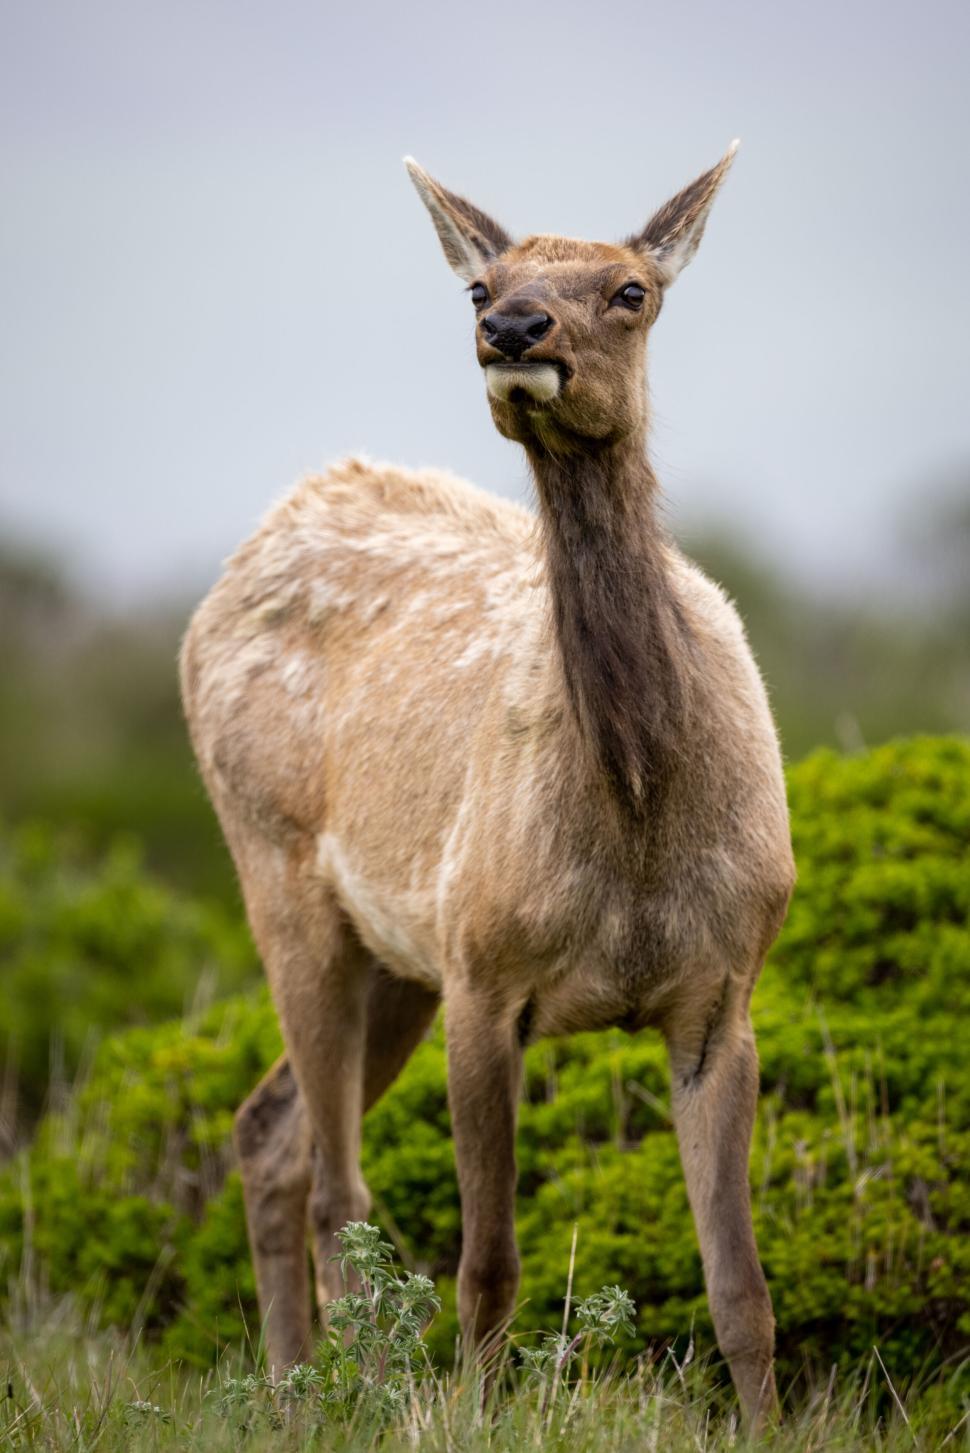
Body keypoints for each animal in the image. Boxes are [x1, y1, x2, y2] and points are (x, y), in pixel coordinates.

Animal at [179, 143, 795, 1433]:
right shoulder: (485, 971)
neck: (637, 809)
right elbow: (488, 1263)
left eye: (630, 289)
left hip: (392, 957)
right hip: (284, 878)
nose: (513, 328)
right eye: (479, 285)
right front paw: (470, 1412)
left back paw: (296, 1395)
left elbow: (741, 1287)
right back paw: (341, 1398)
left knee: (270, 1132)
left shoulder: (725, 989)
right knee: (336, 1185)